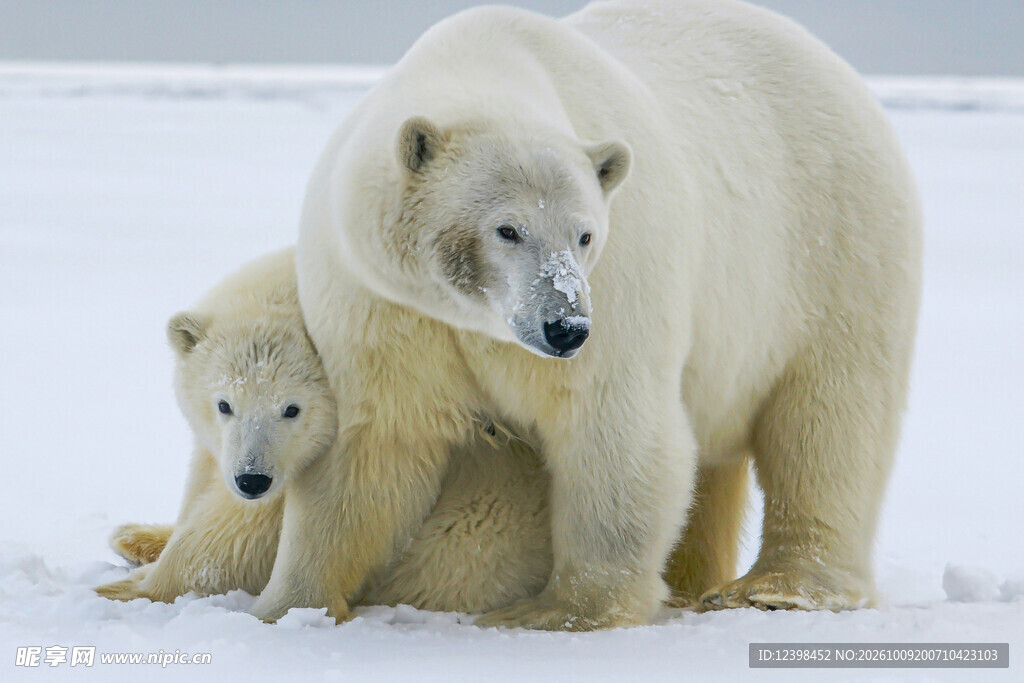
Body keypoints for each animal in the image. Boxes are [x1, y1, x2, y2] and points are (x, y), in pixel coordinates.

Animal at [95, 248, 553, 613]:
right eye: (224, 404)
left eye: (292, 409)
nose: (252, 479)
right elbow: (205, 477)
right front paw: (138, 538)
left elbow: (244, 531)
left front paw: (123, 589)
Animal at [250, 0, 922, 631]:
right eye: (507, 229)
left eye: (585, 235)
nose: (565, 327)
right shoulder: (381, 301)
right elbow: (372, 443)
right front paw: (288, 605)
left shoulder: (621, 283)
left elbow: (609, 423)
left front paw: (555, 612)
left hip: (833, 244)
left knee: (830, 417)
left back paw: (779, 588)